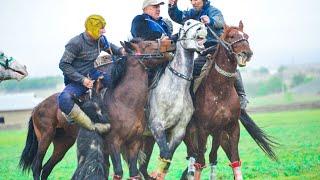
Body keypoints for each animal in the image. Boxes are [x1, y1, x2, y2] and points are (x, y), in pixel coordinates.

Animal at [18, 38, 175, 180]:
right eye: (148, 43)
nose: (171, 42)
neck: (125, 103)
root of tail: (37, 107)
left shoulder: (134, 142)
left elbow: (134, 173)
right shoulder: (113, 142)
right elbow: (118, 171)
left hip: (63, 143)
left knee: (46, 169)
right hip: (45, 137)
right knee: (37, 166)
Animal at [138, 19, 208, 179]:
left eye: (199, 22)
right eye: (187, 22)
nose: (202, 28)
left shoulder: (178, 131)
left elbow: (167, 157)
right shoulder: (157, 126)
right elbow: (164, 153)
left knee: (142, 167)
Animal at [180, 20, 278, 179]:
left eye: (246, 36)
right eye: (231, 36)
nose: (247, 53)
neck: (220, 91)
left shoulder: (229, 128)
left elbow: (233, 159)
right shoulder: (203, 129)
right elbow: (200, 161)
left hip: (219, 136)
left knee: (209, 156)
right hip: (189, 133)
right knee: (193, 156)